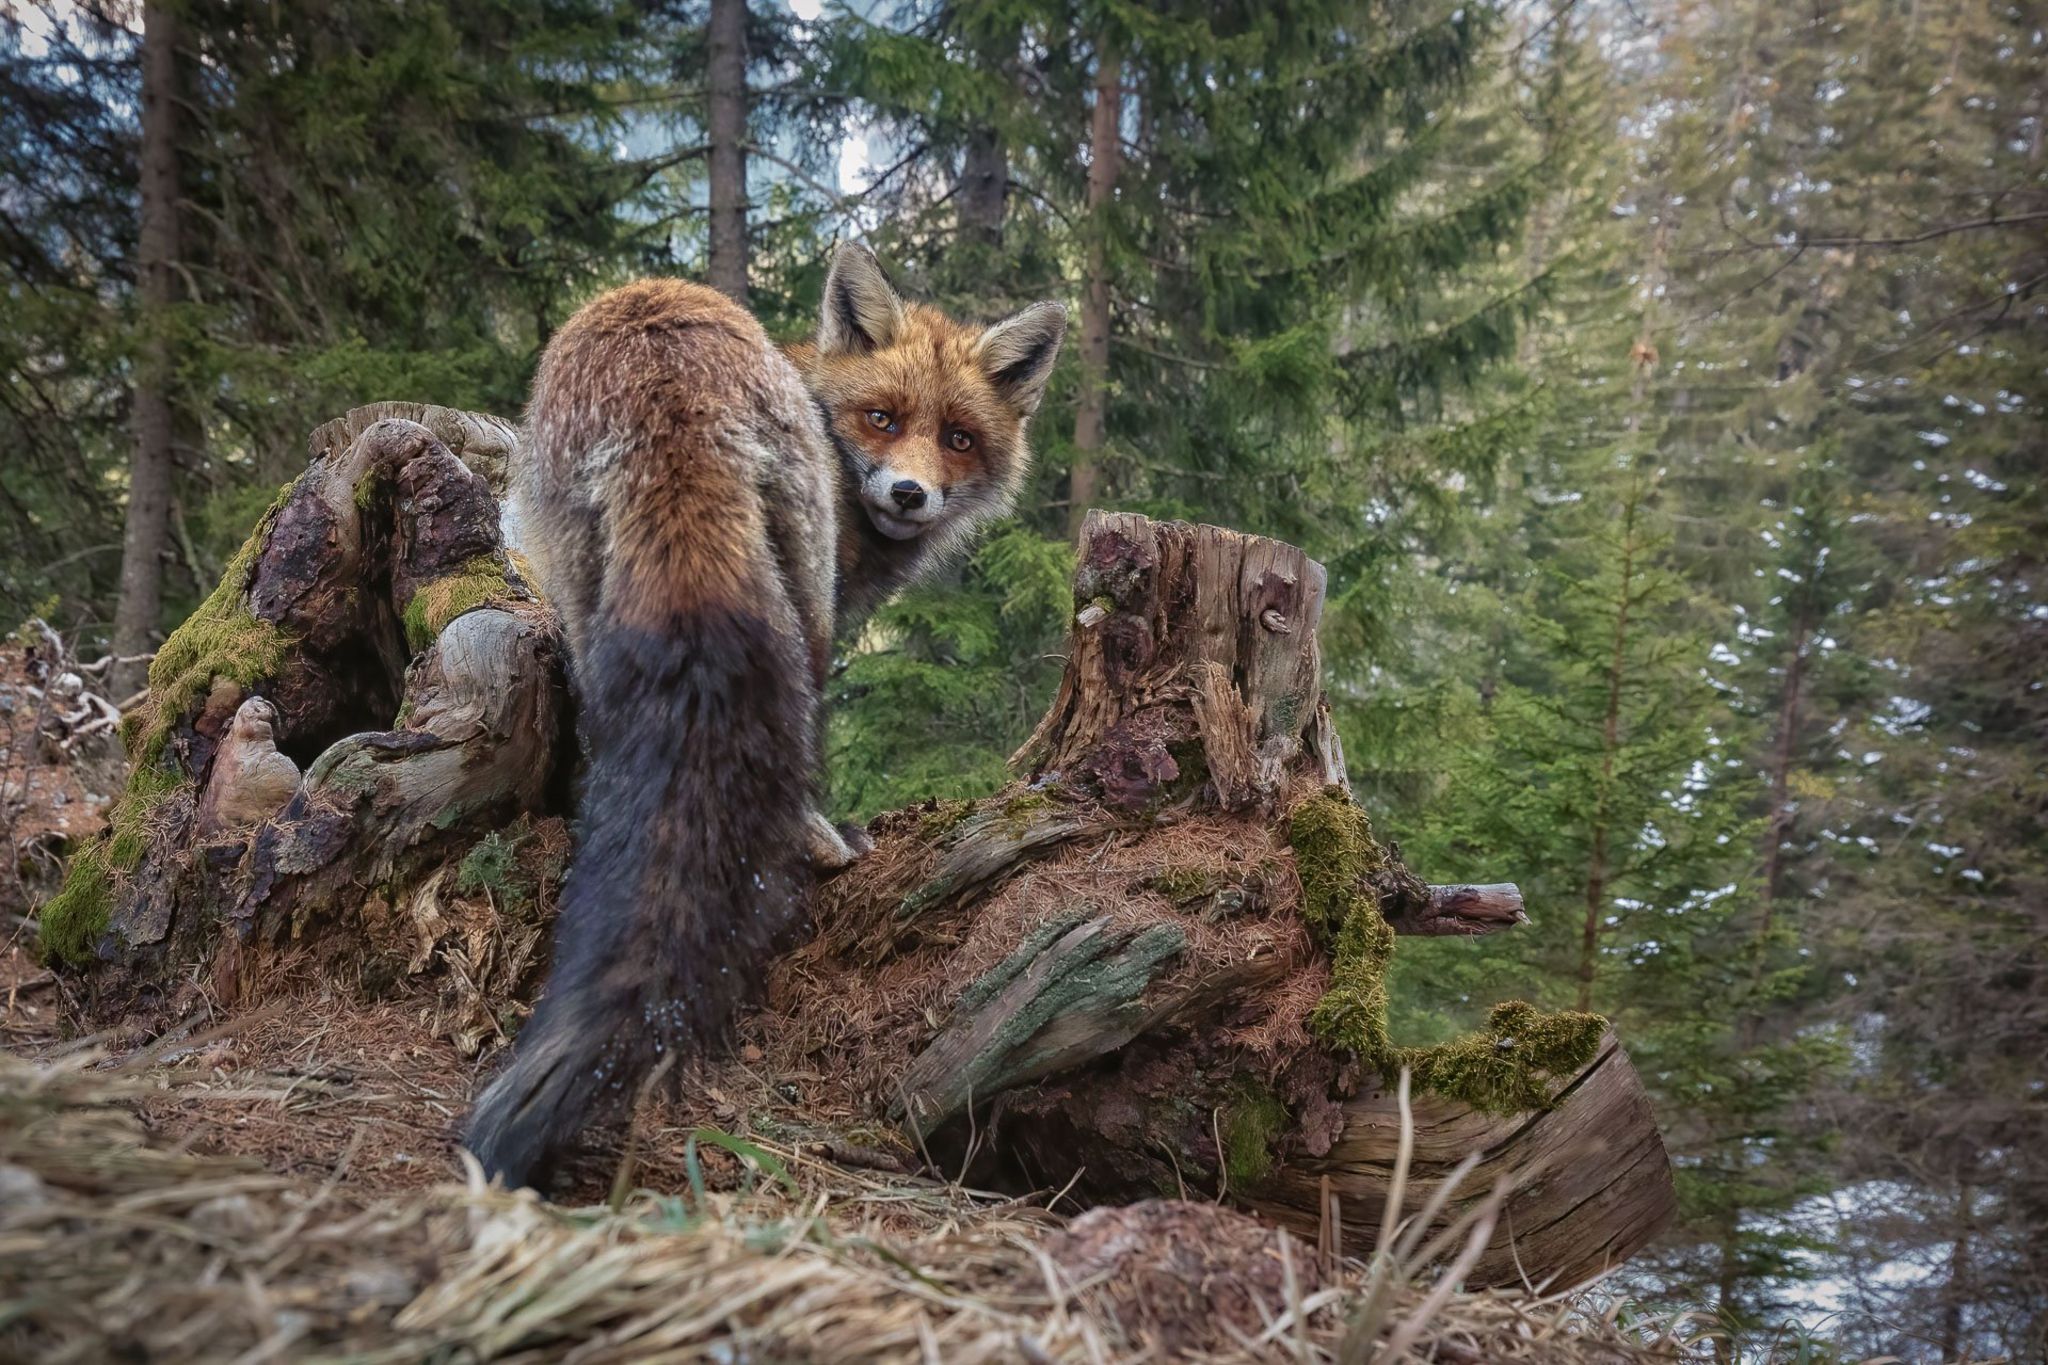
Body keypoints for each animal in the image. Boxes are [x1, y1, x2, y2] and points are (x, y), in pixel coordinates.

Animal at [464, 245, 1064, 1186]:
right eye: (882, 418)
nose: (909, 494)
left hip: (587, 593)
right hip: (800, 601)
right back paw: (819, 843)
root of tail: (661, 373)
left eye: (959, 439)